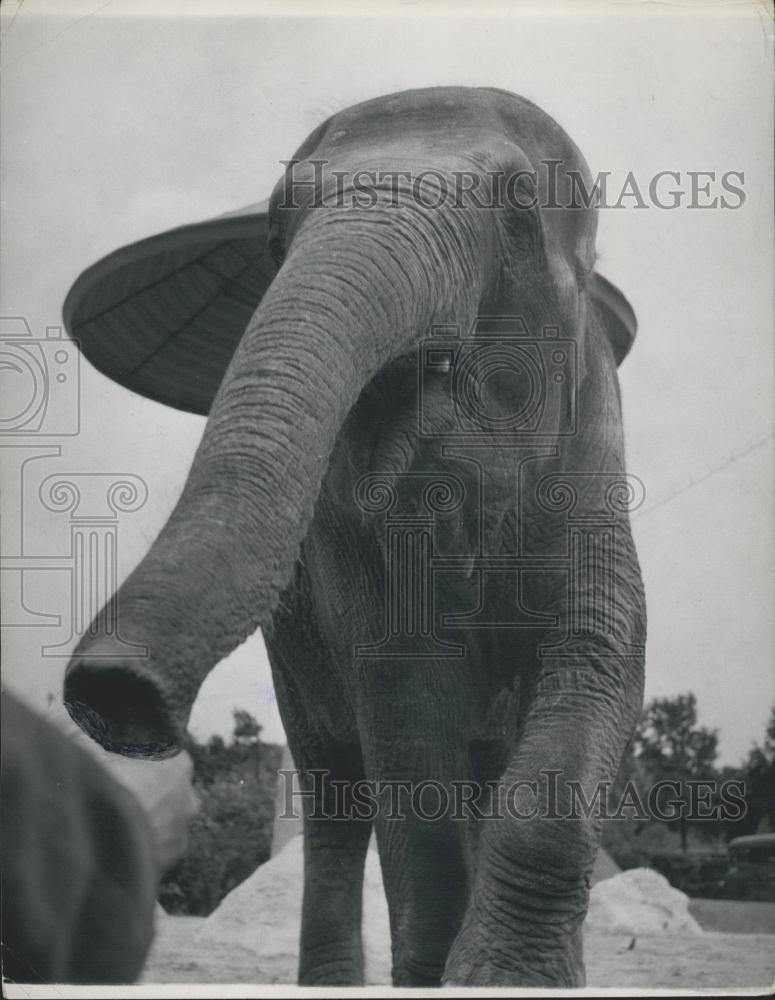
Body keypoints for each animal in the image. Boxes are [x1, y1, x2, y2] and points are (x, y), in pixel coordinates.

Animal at [60, 88, 644, 992]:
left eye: (518, 212)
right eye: (275, 232)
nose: (113, 695)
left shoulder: (593, 473)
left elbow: (596, 655)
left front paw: (503, 977)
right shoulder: (351, 552)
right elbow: (403, 703)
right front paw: (442, 970)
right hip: (294, 652)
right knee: (335, 791)